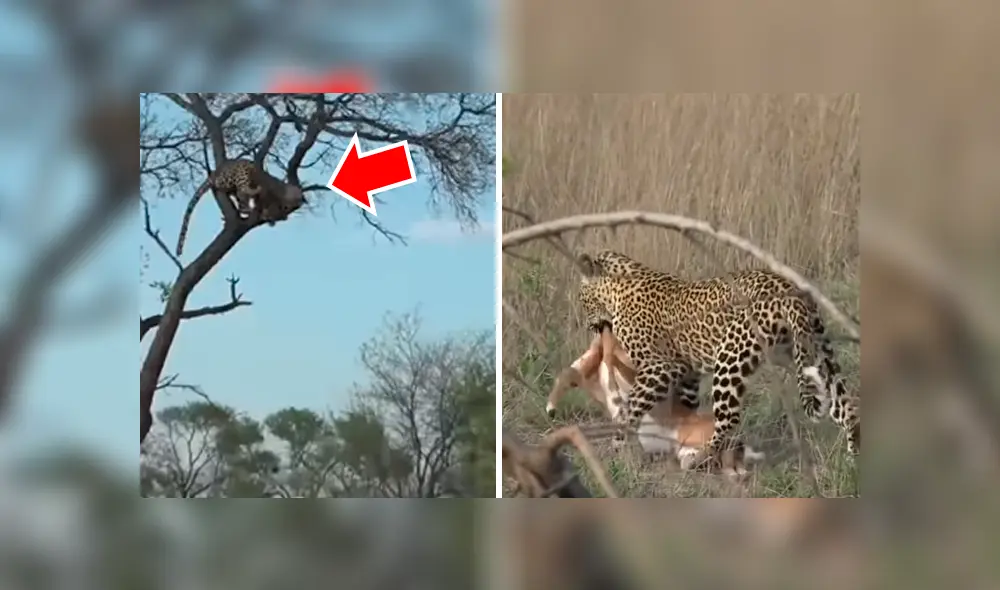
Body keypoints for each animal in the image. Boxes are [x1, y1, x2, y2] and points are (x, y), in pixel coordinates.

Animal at [175, 159, 305, 257]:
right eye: (298, 197)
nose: (301, 201)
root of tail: (216, 171)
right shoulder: (268, 195)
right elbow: (266, 205)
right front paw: (268, 215)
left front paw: (273, 218)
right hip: (240, 170)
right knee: (229, 185)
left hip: (236, 189)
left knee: (240, 200)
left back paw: (246, 208)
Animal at [576, 249, 859, 458]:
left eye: (581, 300)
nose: (589, 326)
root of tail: (788, 289)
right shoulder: (687, 374)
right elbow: (685, 408)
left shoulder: (660, 366)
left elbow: (629, 409)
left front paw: (617, 446)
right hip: (816, 351)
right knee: (845, 404)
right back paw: (853, 460)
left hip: (730, 358)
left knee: (728, 418)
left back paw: (703, 456)